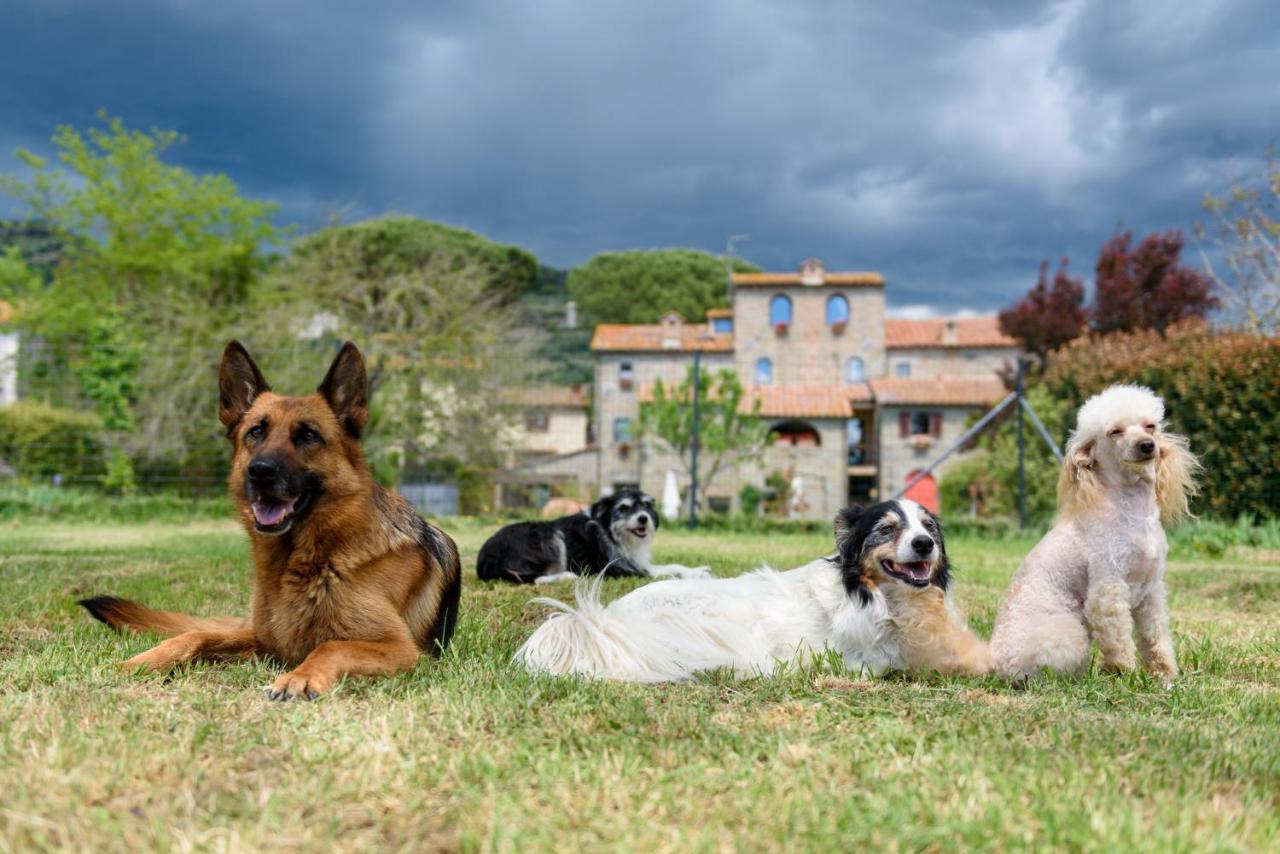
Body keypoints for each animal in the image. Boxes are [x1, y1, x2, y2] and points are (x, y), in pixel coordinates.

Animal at [77, 340, 463, 701]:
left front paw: (299, 678)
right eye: (256, 432)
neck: (305, 560)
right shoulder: (264, 642)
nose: (260, 471)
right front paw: (143, 661)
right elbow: (196, 634)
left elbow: (330, 645)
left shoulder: (399, 648)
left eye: (308, 435)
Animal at [478, 491, 706, 583]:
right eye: (624, 508)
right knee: (533, 578)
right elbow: (660, 572)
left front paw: (697, 571)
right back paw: (566, 576)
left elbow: (673, 565)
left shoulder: (634, 562)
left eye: (647, 506)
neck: (612, 533)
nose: (643, 518)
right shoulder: (617, 569)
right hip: (548, 535)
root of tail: (484, 560)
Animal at [509, 496, 988, 686]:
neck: (879, 597)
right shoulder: (859, 657)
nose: (924, 544)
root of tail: (606, 622)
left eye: (928, 528)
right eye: (887, 529)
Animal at [988, 384, 1198, 676]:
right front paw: (1123, 673)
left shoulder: (1151, 590)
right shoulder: (1107, 589)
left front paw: (1163, 673)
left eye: (1150, 426)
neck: (1133, 513)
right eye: (1115, 431)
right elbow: (1118, 640)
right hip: (1070, 633)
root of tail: (992, 661)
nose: (1147, 445)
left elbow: (1154, 635)